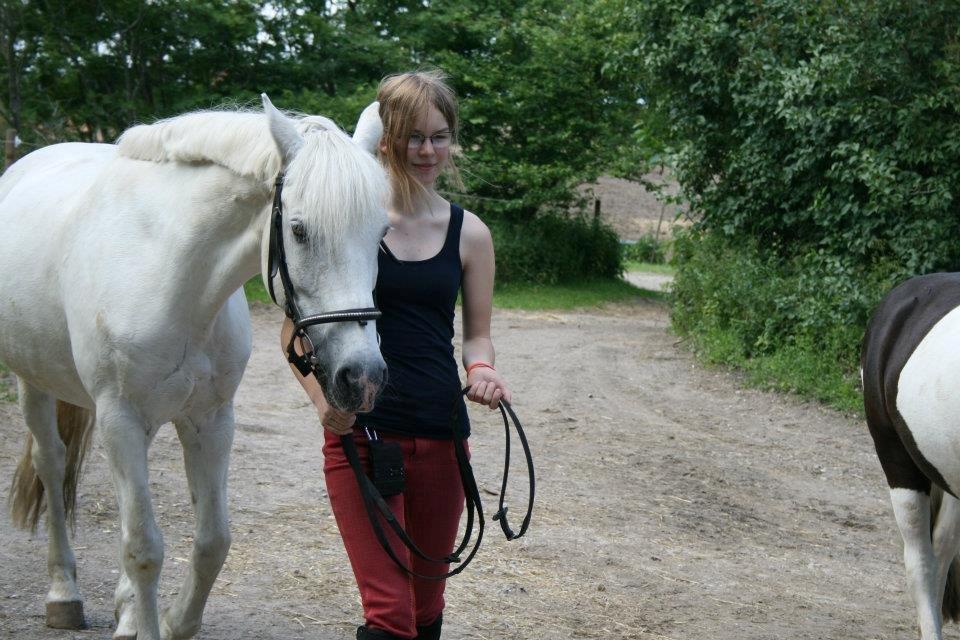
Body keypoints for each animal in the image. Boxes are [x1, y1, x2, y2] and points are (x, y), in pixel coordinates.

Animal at [0, 95, 389, 640]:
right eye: (299, 230)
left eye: (382, 233)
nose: (362, 377)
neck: (171, 270)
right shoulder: (120, 417)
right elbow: (144, 548)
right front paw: (146, 622)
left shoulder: (210, 420)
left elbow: (211, 541)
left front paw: (172, 621)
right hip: (34, 382)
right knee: (51, 464)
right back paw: (64, 594)